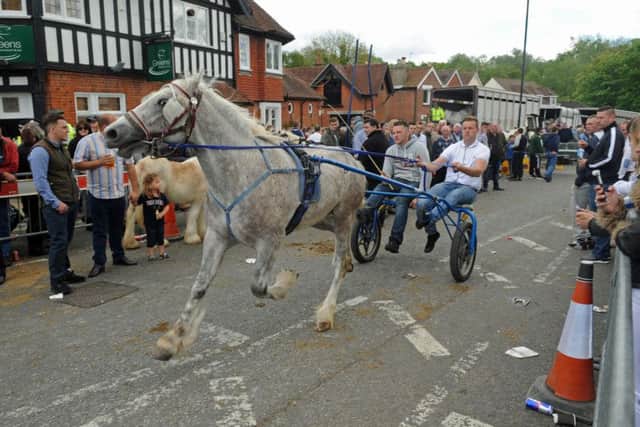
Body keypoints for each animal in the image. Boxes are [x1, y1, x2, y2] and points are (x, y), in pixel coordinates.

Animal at [104, 75, 366, 361]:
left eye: (162, 102)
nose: (111, 132)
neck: (243, 170)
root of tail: (353, 159)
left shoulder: (270, 240)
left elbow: (258, 287)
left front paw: (284, 283)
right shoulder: (217, 237)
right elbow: (199, 285)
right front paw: (173, 339)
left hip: (343, 218)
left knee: (338, 263)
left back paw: (326, 311)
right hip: (322, 219)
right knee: (342, 257)